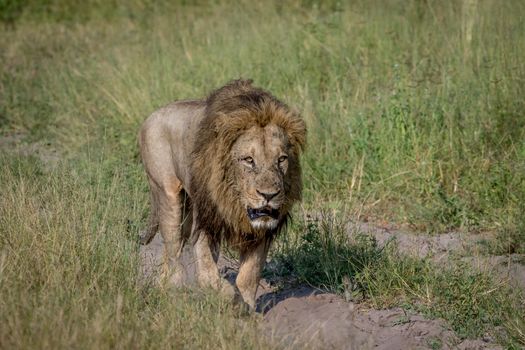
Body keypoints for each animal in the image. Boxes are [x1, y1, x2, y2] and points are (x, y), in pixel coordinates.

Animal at [137, 79, 304, 308]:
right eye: (249, 160)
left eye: (281, 159)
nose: (269, 195)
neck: (234, 202)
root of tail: (151, 115)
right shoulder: (206, 221)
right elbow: (208, 275)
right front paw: (231, 300)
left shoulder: (262, 233)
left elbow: (249, 275)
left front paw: (247, 310)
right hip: (168, 194)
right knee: (173, 250)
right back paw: (176, 291)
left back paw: (163, 287)